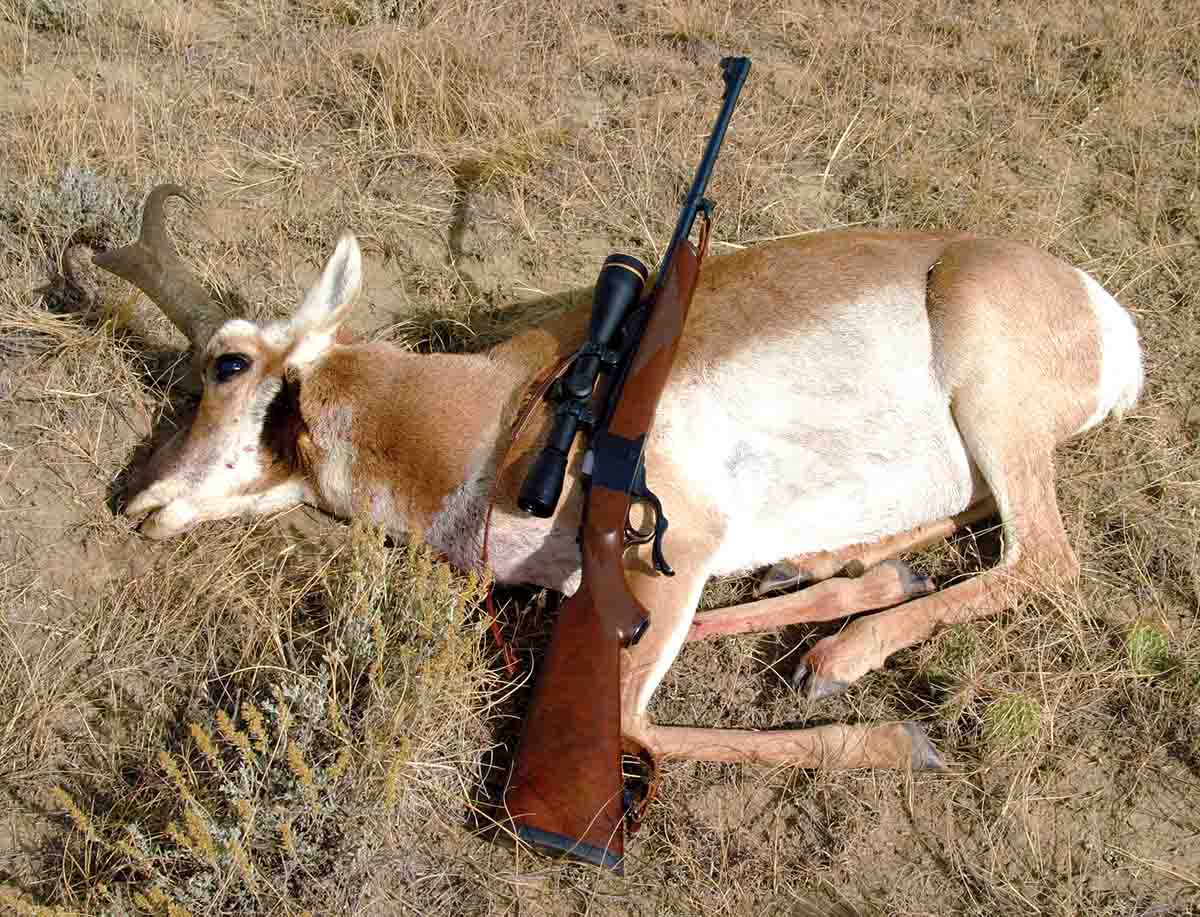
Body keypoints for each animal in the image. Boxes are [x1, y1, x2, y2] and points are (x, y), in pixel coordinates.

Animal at [63, 186, 1142, 772]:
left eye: (227, 365)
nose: (137, 499)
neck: (501, 407)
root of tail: (1102, 310)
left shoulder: (680, 542)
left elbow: (627, 721)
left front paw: (893, 742)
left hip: (989, 402)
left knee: (1044, 555)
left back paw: (845, 654)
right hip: (965, 450)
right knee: (967, 519)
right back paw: (835, 579)